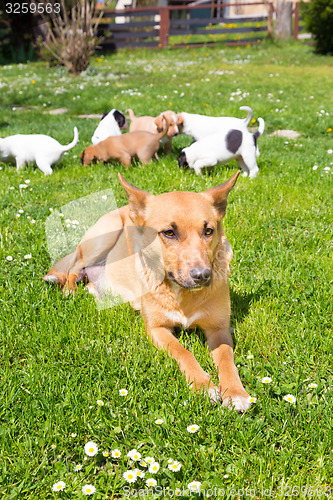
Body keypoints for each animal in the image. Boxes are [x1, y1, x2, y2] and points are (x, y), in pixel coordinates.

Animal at [44, 170, 252, 412]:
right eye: (169, 232)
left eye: (208, 230)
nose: (202, 275)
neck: (181, 294)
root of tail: (126, 207)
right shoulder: (156, 328)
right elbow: (183, 351)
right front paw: (202, 384)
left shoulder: (219, 328)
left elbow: (227, 359)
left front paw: (236, 392)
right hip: (102, 238)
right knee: (73, 267)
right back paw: (69, 290)